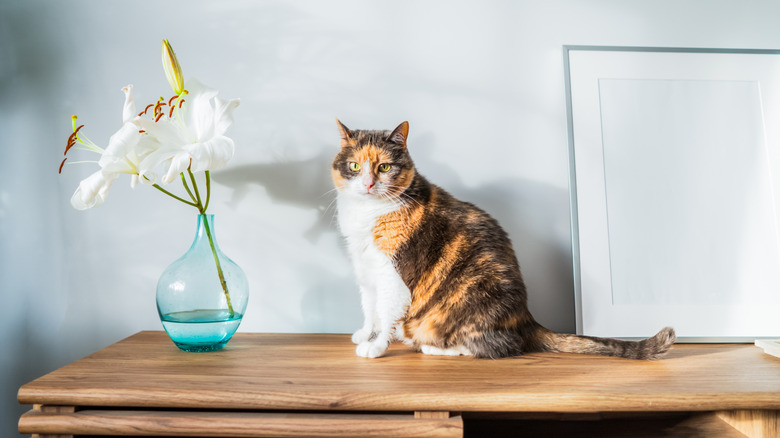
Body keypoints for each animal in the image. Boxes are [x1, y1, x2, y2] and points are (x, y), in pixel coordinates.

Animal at [330, 119, 676, 360]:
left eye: (385, 166)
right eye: (354, 166)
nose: (368, 183)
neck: (366, 214)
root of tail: (527, 318)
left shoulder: (392, 276)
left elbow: (386, 313)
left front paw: (376, 347)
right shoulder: (366, 270)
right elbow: (370, 308)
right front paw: (364, 334)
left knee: (500, 347)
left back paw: (432, 348)